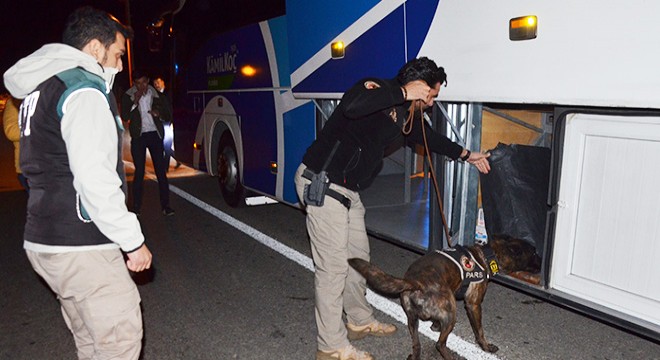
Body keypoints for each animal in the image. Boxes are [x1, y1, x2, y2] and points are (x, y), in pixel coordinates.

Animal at [348, 235, 540, 358]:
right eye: (534, 253)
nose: (540, 263)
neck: (486, 255)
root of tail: (415, 282)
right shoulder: (473, 304)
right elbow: (479, 331)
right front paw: (486, 346)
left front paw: (434, 325)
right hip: (452, 312)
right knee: (440, 344)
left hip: (412, 320)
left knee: (417, 345)